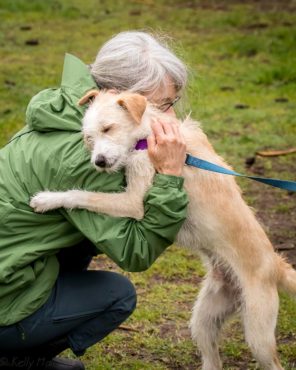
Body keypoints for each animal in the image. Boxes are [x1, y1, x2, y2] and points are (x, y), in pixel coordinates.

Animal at [30, 90, 296, 370]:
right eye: (89, 137)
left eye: (108, 128)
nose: (98, 162)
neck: (145, 136)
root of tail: (276, 265)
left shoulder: (133, 202)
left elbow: (83, 194)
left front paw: (48, 199)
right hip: (204, 319)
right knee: (212, 358)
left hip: (258, 334)